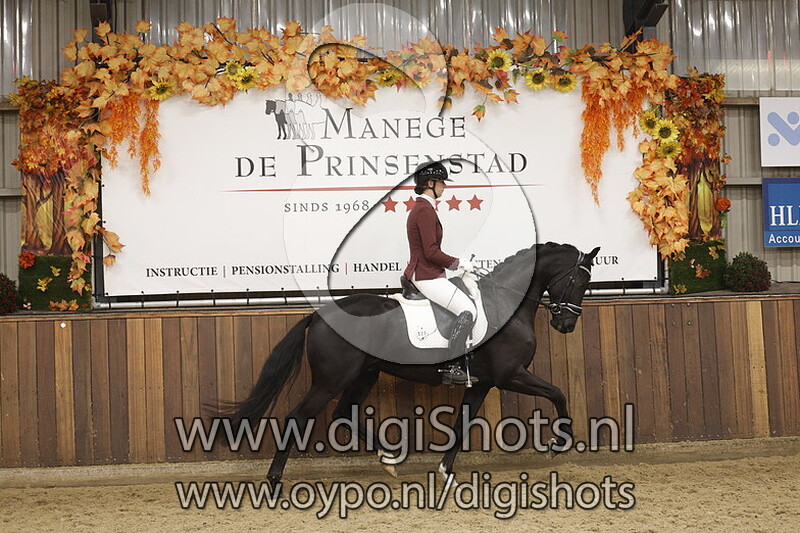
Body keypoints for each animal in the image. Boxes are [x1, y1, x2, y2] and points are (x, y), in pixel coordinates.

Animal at [221, 242, 599, 488]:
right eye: (580, 281)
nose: (566, 325)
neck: (504, 303)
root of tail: (320, 314)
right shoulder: (511, 375)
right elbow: (558, 393)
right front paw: (559, 444)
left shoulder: (483, 382)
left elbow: (462, 424)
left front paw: (446, 472)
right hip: (331, 380)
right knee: (299, 417)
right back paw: (274, 479)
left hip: (365, 373)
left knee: (344, 413)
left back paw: (390, 460)